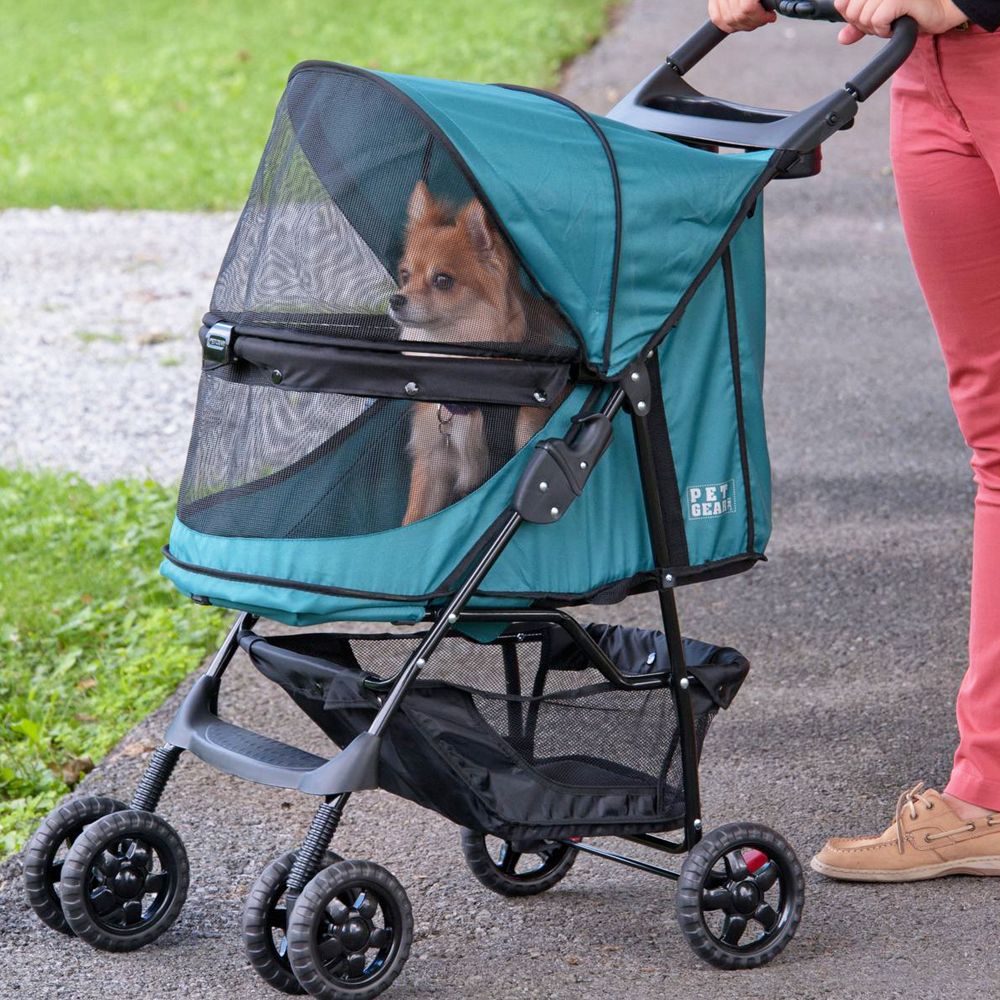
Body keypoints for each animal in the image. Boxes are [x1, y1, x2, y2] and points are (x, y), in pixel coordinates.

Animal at [390, 182, 560, 524]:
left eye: (442, 280)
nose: (395, 299)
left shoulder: (521, 446)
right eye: (404, 275)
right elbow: (414, 517)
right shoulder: (433, 463)